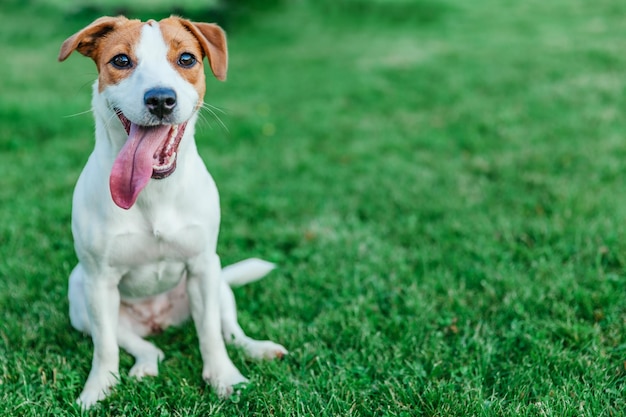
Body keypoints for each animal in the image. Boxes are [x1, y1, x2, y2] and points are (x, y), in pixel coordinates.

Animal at [57, 15, 286, 406]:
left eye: (186, 59)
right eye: (121, 60)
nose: (161, 99)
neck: (154, 189)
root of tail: (157, 320)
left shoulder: (202, 267)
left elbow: (210, 334)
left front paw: (224, 378)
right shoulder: (99, 283)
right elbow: (105, 348)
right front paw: (97, 389)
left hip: (218, 282)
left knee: (230, 331)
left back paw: (257, 349)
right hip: (80, 296)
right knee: (140, 345)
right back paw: (145, 365)